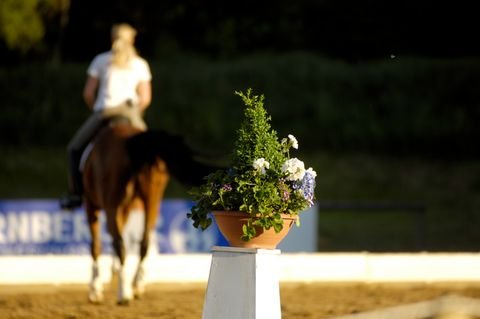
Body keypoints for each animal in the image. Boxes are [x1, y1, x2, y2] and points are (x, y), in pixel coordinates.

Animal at [82, 122, 216, 304]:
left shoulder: (91, 204)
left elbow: (95, 245)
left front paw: (95, 289)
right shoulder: (126, 208)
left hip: (111, 203)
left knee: (119, 242)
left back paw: (124, 293)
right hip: (152, 198)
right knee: (143, 241)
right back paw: (136, 285)